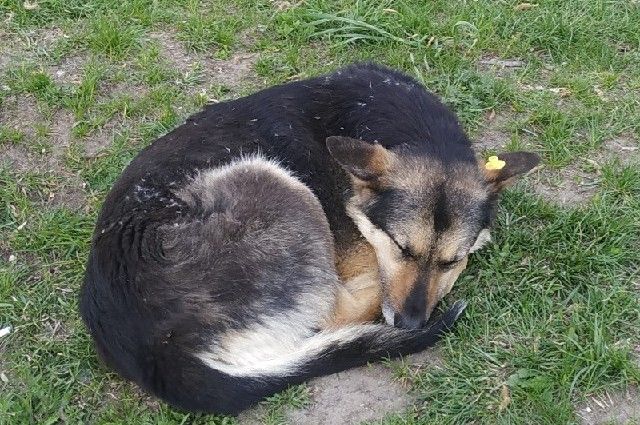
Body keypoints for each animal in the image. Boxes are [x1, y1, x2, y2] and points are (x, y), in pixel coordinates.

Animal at [80, 63, 540, 414]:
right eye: (399, 247)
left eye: (450, 260)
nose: (409, 324)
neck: (414, 130)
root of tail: (154, 351)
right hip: (275, 183)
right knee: (334, 313)